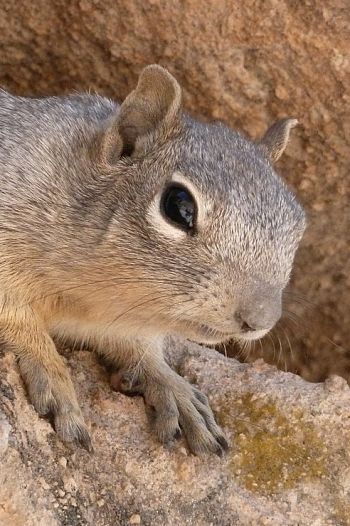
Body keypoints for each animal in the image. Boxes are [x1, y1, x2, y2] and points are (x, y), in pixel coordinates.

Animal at [0, 65, 304, 454]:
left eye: (299, 226)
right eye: (178, 206)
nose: (259, 320)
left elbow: (137, 348)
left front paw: (169, 383)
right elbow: (17, 318)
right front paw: (50, 369)